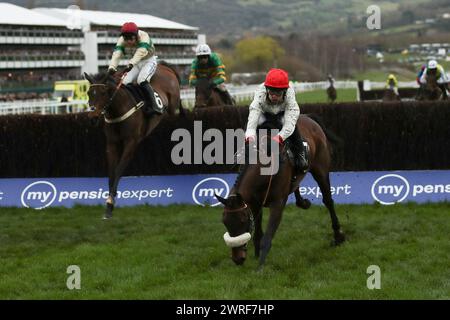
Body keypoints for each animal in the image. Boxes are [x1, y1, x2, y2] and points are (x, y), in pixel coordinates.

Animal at [84, 62, 183, 220]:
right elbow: (111, 173)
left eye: (103, 93)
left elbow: (119, 170)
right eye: (89, 93)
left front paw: (110, 202)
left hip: (173, 106)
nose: (92, 118)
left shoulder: (131, 142)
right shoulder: (112, 144)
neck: (119, 109)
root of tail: (164, 66)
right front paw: (109, 206)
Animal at [216, 115, 346, 268]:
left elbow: (267, 237)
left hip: (320, 168)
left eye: (242, 221)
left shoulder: (277, 203)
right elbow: (258, 234)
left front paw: (260, 267)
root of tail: (308, 117)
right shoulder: (255, 203)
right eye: (225, 222)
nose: (237, 259)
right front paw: (256, 256)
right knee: (296, 186)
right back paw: (303, 202)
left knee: (328, 200)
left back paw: (338, 236)